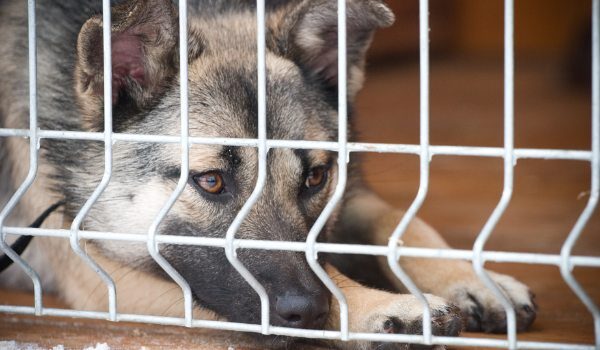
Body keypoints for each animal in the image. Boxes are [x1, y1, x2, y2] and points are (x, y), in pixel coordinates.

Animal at [0, 0, 536, 348]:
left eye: (315, 178)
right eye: (211, 181)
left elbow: (401, 225)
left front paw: (473, 276)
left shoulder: (348, 195)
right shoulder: (102, 278)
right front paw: (376, 307)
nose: (310, 309)